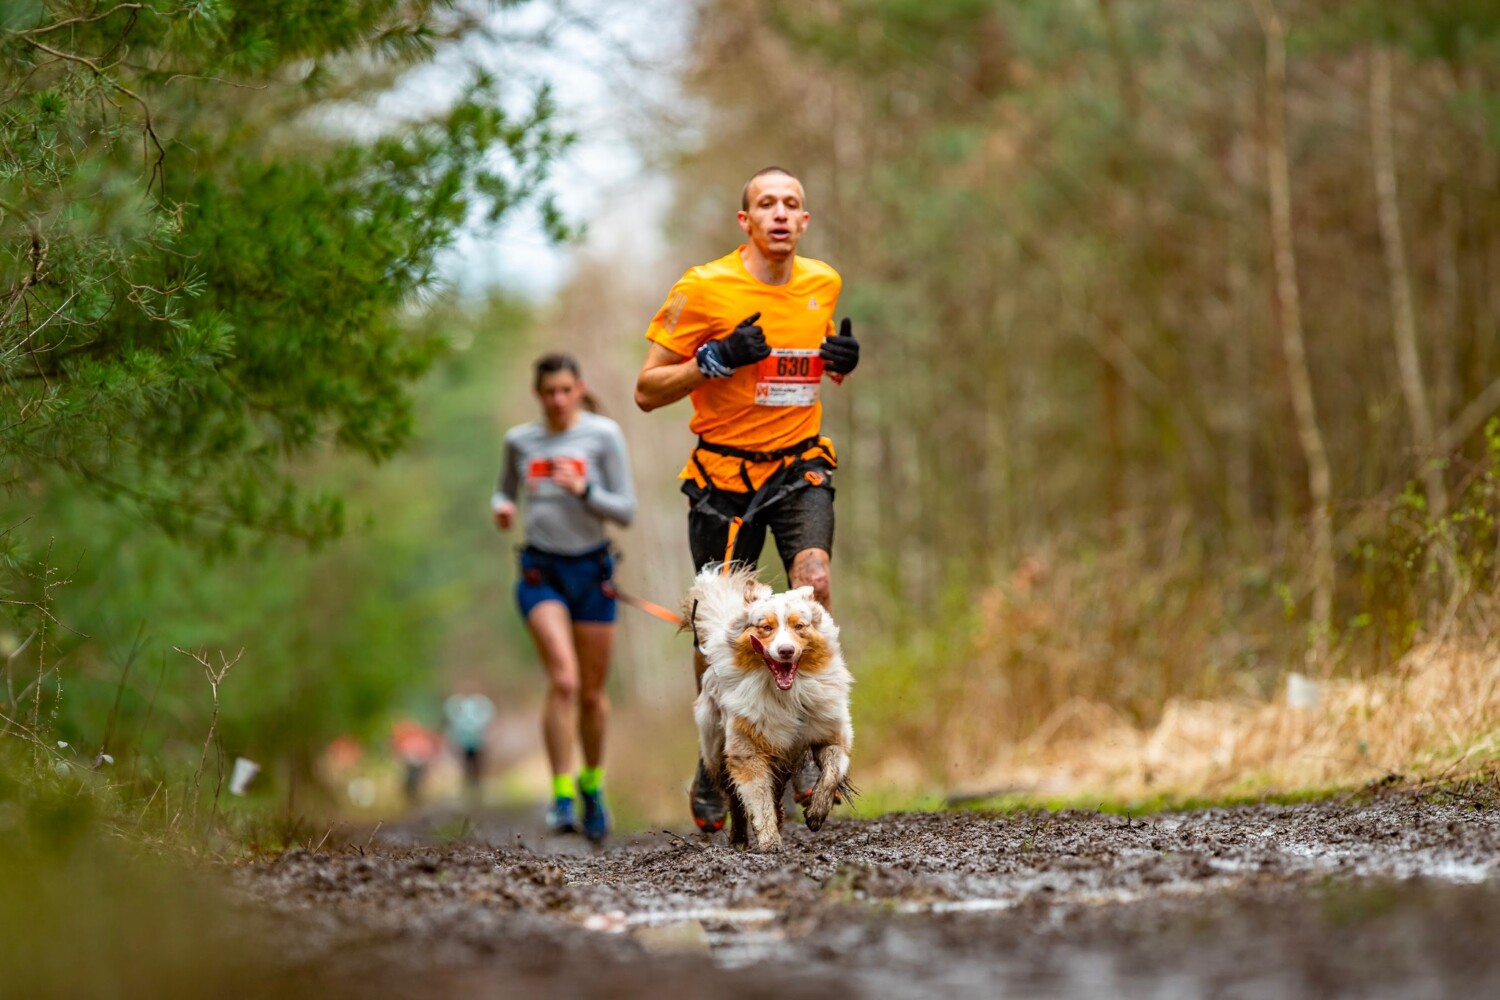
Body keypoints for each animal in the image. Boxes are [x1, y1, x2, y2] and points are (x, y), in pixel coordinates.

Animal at [684, 563, 852, 851]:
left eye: (799, 626)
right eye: (765, 627)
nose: (785, 651)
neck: (788, 696)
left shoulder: (830, 733)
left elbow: (832, 772)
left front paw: (816, 812)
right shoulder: (747, 749)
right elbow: (758, 800)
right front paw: (769, 841)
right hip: (717, 748)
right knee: (735, 799)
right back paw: (739, 838)